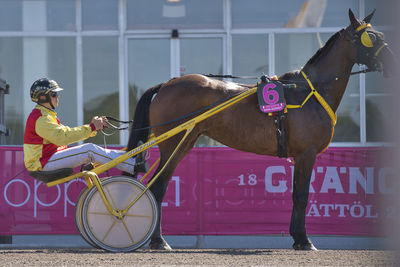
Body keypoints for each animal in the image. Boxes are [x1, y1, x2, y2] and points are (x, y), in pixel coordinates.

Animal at [127, 8, 394, 251]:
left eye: (380, 34)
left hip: (184, 143)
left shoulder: (299, 156)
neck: (309, 93)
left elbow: (296, 194)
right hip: (174, 145)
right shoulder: (307, 154)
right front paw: (304, 240)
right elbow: (302, 196)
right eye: (371, 37)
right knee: (158, 188)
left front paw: (297, 237)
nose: (392, 62)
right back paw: (158, 240)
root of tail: (167, 84)